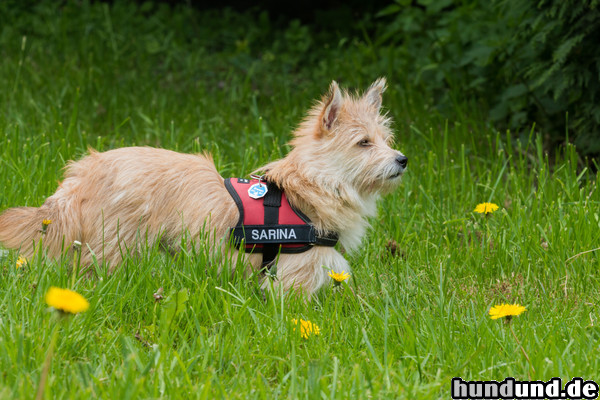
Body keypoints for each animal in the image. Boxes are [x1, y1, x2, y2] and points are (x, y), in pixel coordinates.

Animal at [0, 78, 408, 296]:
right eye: (363, 143)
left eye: (386, 140)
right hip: (114, 247)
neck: (311, 186)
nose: (402, 159)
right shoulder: (296, 273)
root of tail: (83, 173)